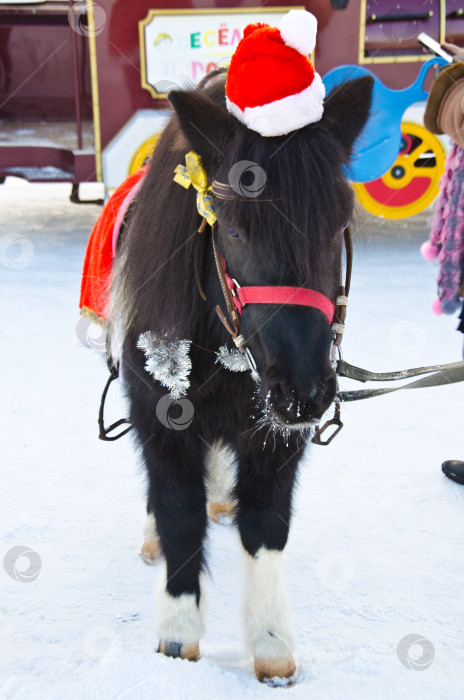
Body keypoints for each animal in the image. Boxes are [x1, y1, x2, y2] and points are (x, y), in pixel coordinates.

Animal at [109, 72, 374, 684]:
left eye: (337, 225)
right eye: (232, 229)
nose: (304, 392)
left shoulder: (275, 436)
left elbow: (267, 525)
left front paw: (272, 647)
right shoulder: (158, 415)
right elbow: (179, 513)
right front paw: (178, 638)